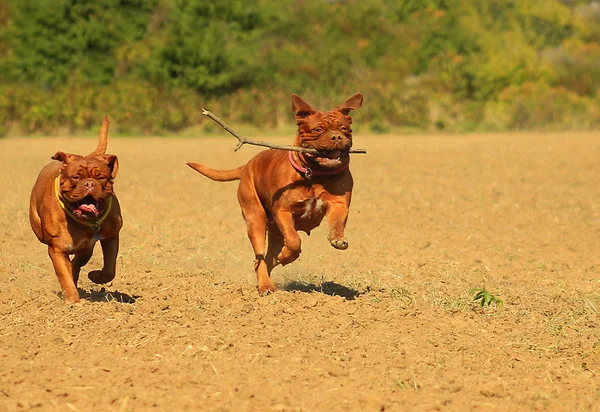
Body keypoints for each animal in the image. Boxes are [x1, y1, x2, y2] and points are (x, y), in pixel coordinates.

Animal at [29, 116, 123, 302]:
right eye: (76, 177)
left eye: (101, 177)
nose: (89, 183)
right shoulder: (57, 249)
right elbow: (64, 276)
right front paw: (74, 302)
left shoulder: (111, 236)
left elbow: (109, 269)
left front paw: (95, 276)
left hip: (87, 248)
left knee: (78, 262)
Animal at [188, 93, 364, 292]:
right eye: (318, 129)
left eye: (344, 128)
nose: (336, 137)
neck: (315, 174)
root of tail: (247, 165)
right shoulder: (283, 212)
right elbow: (294, 241)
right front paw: (287, 255)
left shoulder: (338, 204)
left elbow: (336, 223)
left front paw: (338, 239)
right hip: (256, 220)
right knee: (260, 258)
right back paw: (266, 285)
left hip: (274, 232)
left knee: (267, 260)